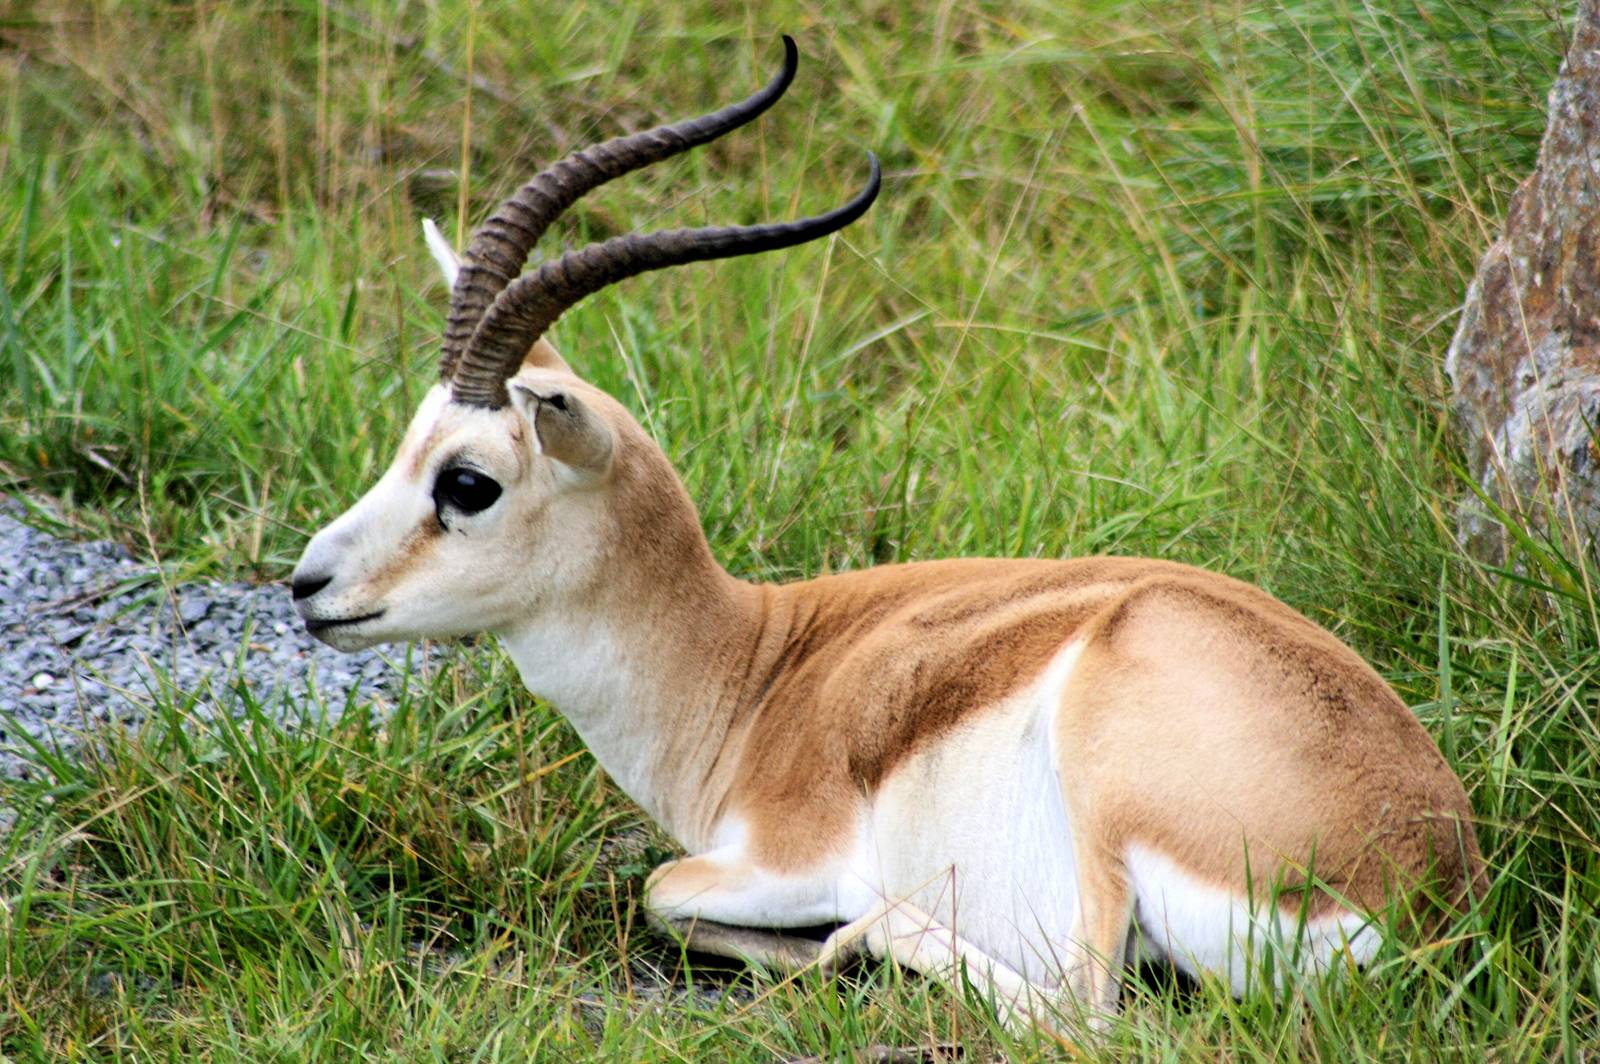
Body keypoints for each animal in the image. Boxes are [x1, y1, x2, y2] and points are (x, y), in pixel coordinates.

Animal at [290, 36, 1482, 1032]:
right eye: (405, 443)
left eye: (469, 482)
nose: (307, 585)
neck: (752, 672)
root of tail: (1423, 886)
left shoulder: (783, 856)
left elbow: (661, 889)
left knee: (1083, 1011)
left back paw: (875, 937)